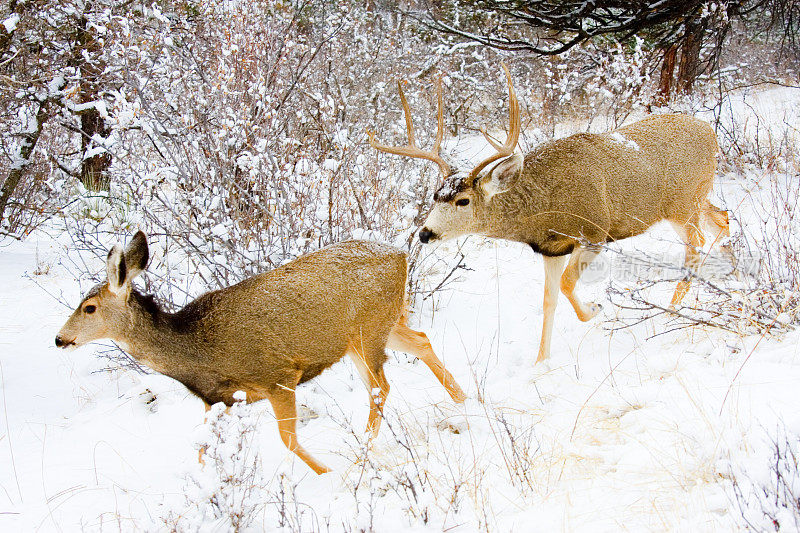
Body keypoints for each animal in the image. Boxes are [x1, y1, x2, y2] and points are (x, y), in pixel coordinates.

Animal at [56, 231, 466, 472]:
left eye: (89, 307)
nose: (60, 339)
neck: (196, 352)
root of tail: (400, 255)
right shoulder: (219, 401)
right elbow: (201, 448)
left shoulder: (278, 376)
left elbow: (288, 439)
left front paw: (327, 473)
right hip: (378, 325)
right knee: (421, 341)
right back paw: (466, 402)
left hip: (367, 330)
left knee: (380, 387)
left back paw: (362, 455)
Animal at [368, 62, 732, 362]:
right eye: (434, 196)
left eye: (464, 201)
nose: (425, 233)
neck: (544, 206)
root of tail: (710, 132)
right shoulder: (551, 248)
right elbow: (549, 300)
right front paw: (540, 364)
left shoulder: (595, 231)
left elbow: (569, 286)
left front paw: (596, 308)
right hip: (697, 197)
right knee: (722, 219)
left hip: (682, 203)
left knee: (696, 243)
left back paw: (672, 309)